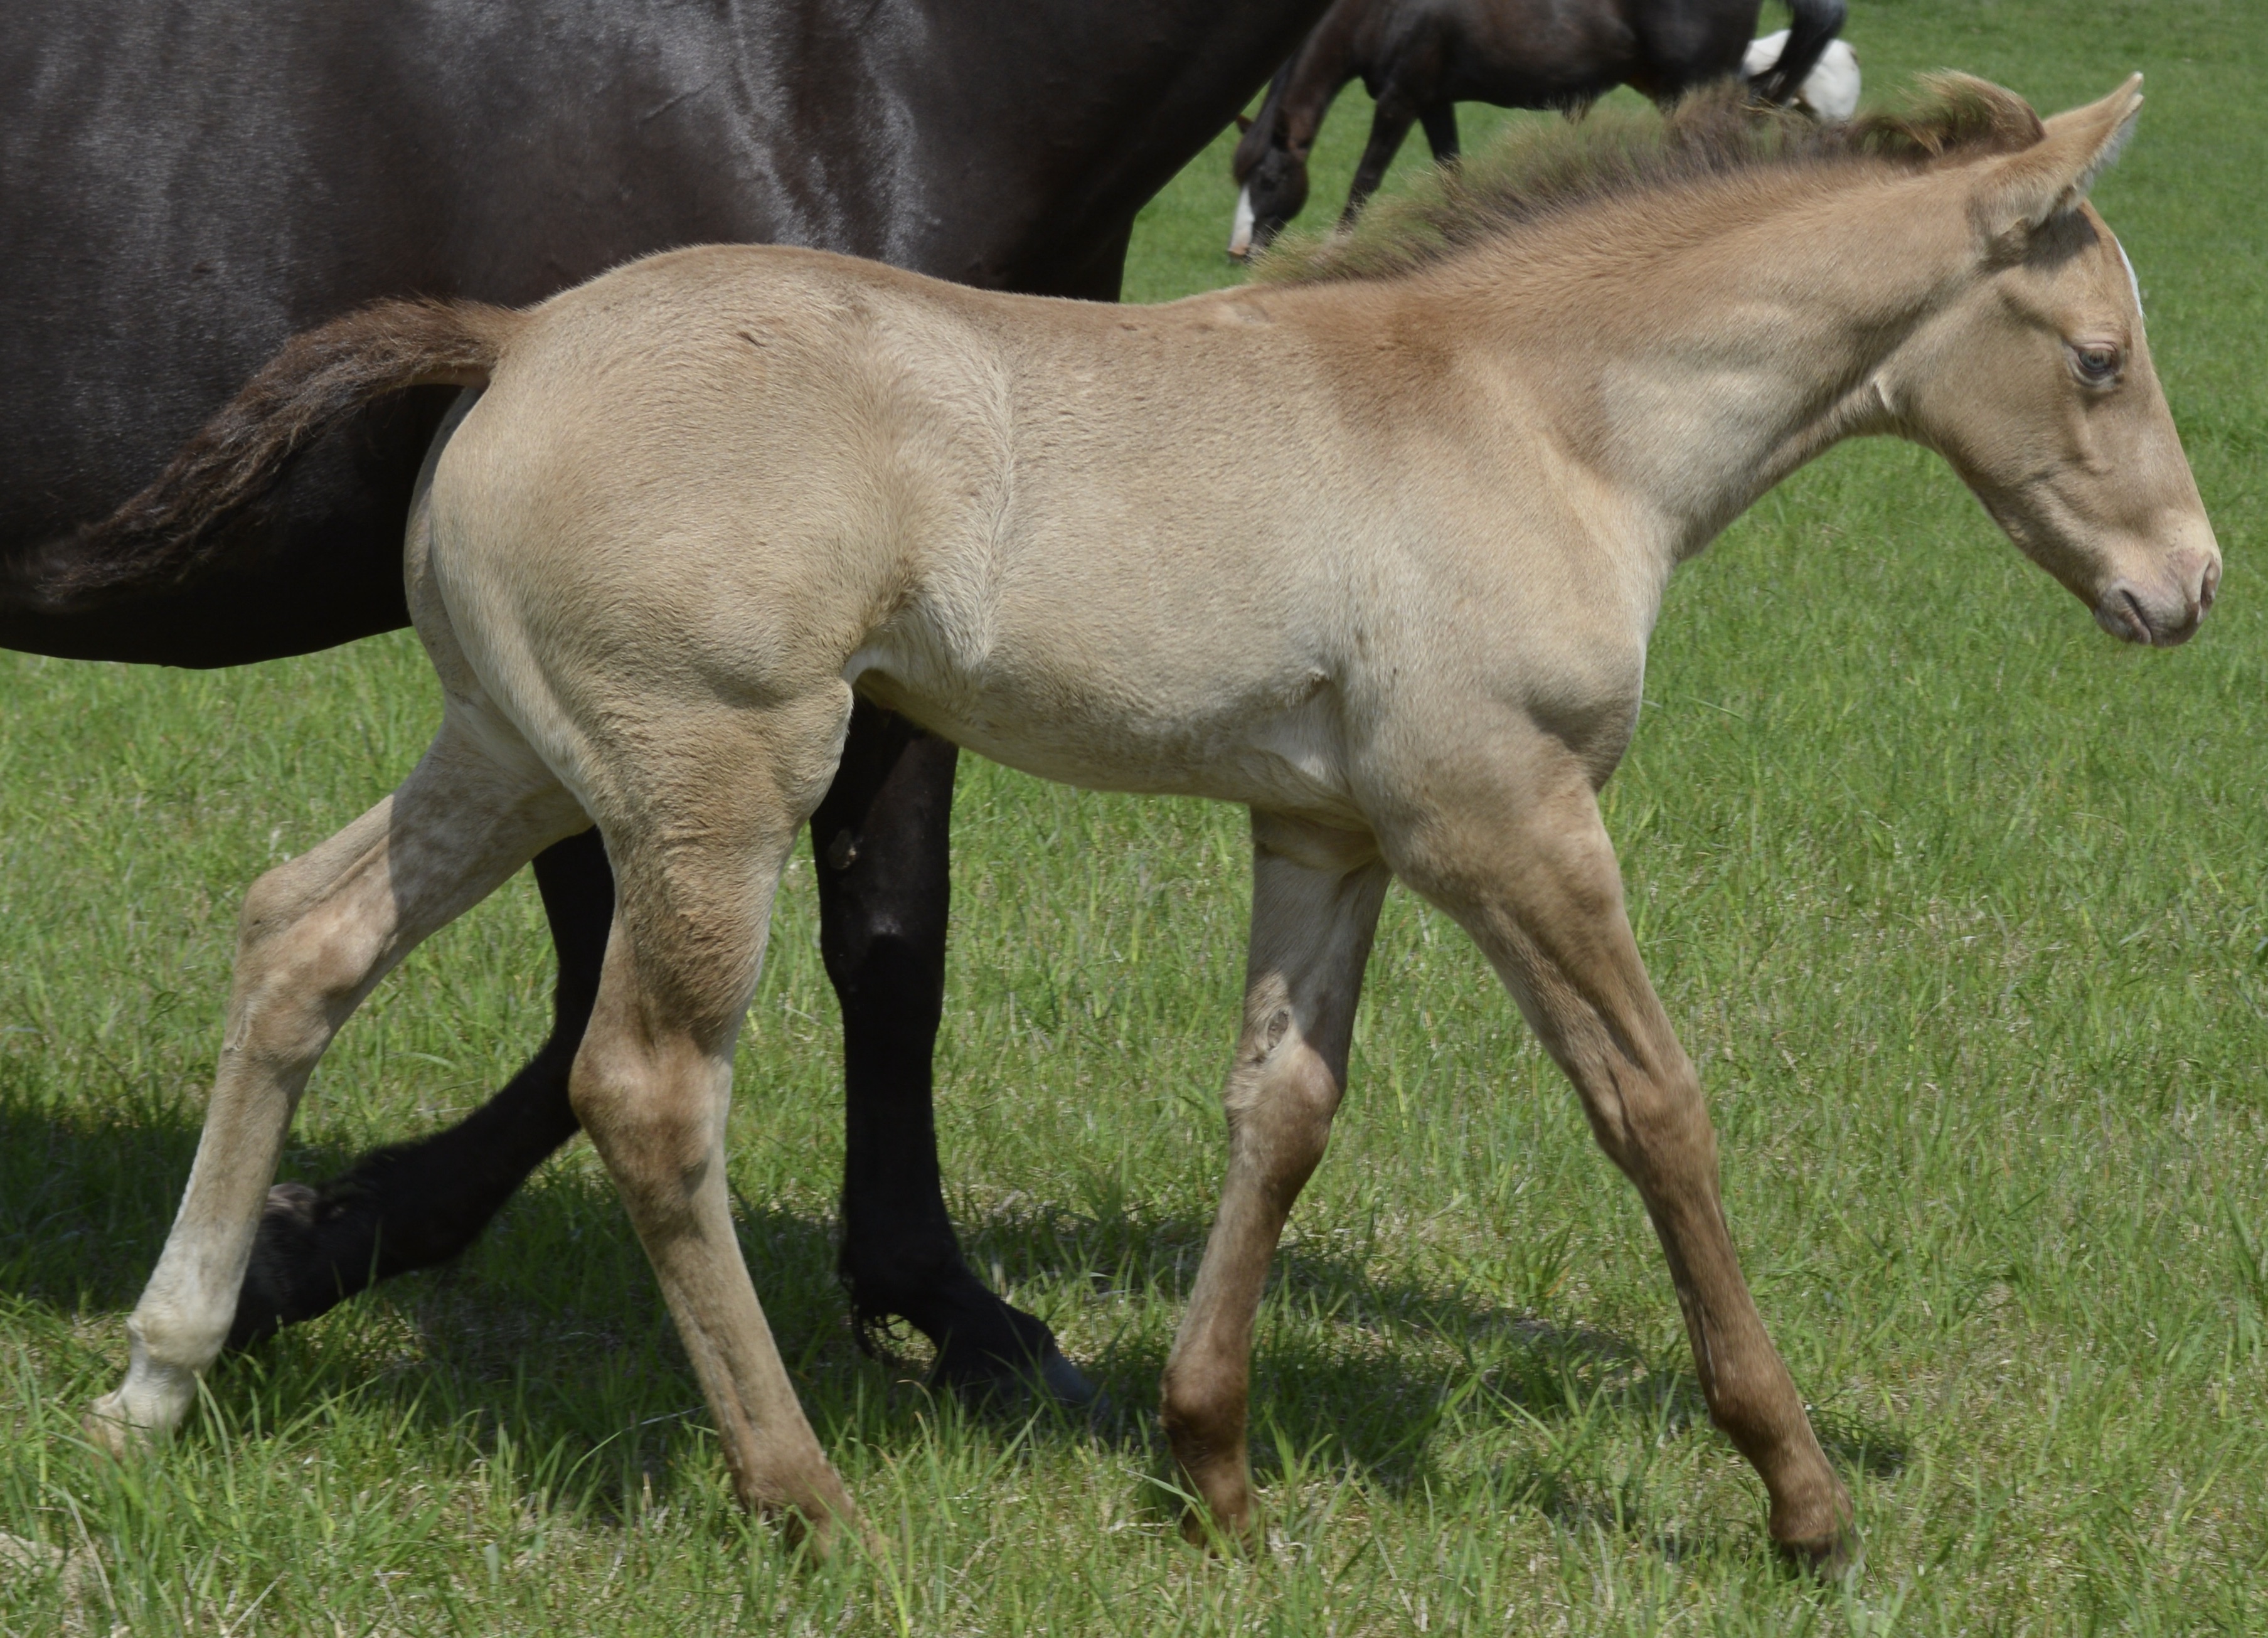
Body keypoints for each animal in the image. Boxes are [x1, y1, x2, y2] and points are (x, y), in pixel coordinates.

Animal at [0, 0, 1337, 1408]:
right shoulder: (660, 696)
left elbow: (889, 949)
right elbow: (611, 1022)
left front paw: (946, 1303)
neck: (847, 73)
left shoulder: (905, 659)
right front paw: (297, 1252)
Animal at [77, 76, 2214, 1565]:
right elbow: (1654, 1108)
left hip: (513, 750)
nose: (2183, 591)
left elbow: (1279, 1116)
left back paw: (157, 1369)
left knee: (299, 935)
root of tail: (513, 340)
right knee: (647, 1088)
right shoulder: (1501, 819)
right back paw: (802, 1494)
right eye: (2095, 359)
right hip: (715, 778)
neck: (1533, 410)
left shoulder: (1328, 838)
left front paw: (1211, 1474)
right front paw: (1797, 1492)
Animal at [1225, 0, 1846, 256]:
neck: (1382, 13)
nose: (1239, 251)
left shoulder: (1401, 101)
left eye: (1268, 179)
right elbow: (1451, 172)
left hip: (1691, 82)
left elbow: (1366, 180)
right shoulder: (1434, 102)